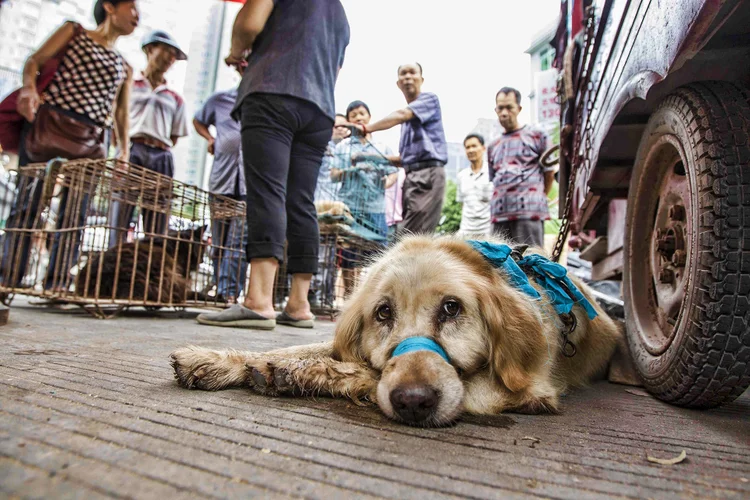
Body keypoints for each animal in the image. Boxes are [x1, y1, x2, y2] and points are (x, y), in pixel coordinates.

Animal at [172, 234, 624, 426]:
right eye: (383, 313)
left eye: (451, 308)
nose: (413, 402)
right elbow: (302, 347)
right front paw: (218, 360)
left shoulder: (528, 390)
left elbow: (367, 373)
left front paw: (298, 373)